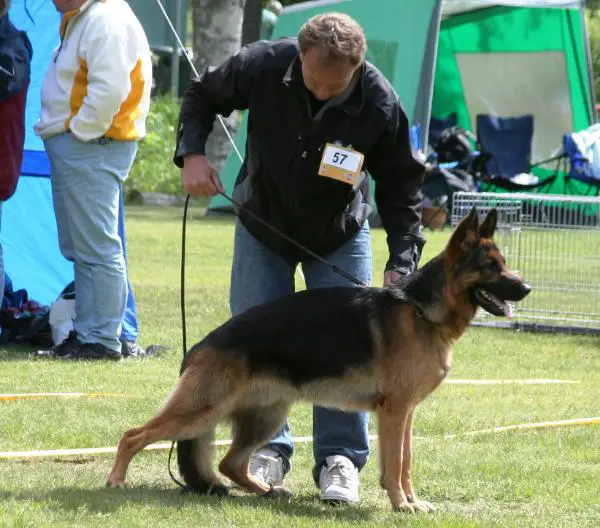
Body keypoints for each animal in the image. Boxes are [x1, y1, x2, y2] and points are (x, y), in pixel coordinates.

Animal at [106, 208, 528, 512]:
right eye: (490, 267)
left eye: (504, 262)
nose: (525, 287)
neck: (423, 310)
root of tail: (200, 345)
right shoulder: (394, 412)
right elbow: (394, 465)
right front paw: (400, 504)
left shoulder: (406, 412)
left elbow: (406, 462)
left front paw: (411, 500)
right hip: (201, 410)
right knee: (133, 435)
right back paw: (116, 482)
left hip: (265, 416)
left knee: (229, 463)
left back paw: (265, 489)